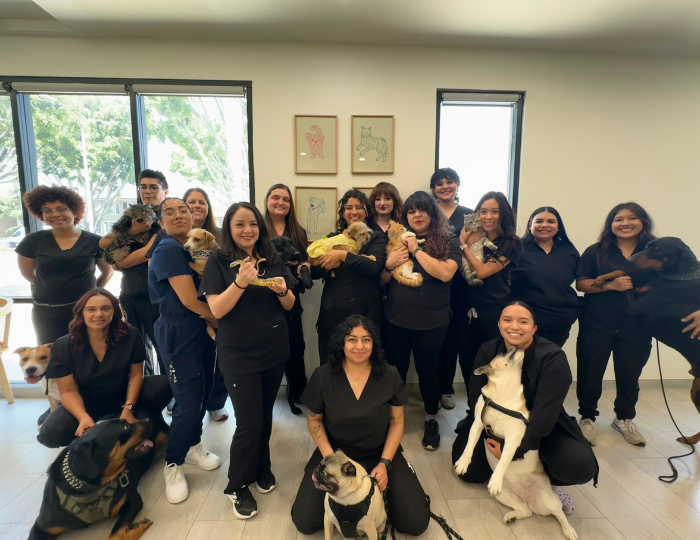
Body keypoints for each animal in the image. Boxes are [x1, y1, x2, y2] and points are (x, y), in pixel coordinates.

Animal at [29, 411, 168, 540]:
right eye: (125, 427)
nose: (147, 419)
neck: (87, 491)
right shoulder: (41, 528)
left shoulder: (132, 500)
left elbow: (116, 534)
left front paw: (137, 526)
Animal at [454, 347, 578, 540]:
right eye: (502, 352)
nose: (516, 347)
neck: (504, 392)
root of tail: (528, 500)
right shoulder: (478, 423)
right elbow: (469, 444)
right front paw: (463, 463)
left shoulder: (513, 438)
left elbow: (504, 459)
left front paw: (497, 478)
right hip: (504, 496)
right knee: (525, 511)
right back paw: (512, 516)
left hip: (549, 500)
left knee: (560, 515)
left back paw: (569, 530)